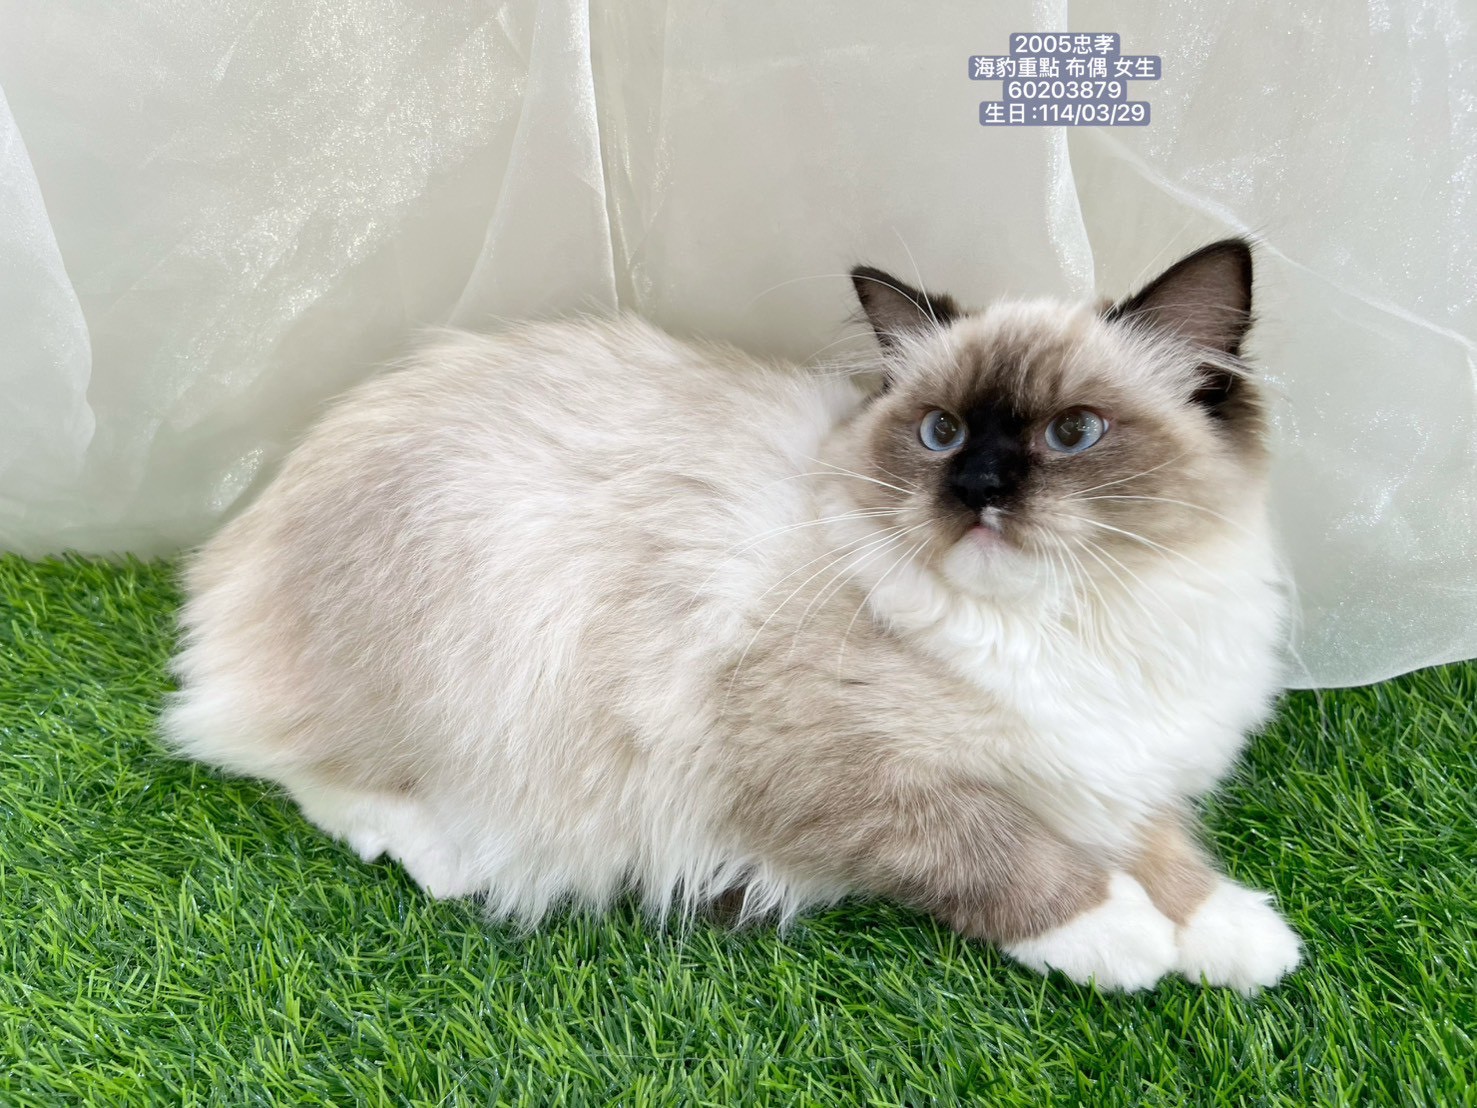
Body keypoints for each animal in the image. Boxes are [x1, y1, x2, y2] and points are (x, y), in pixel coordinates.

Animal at [162, 238, 1302, 993]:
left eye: (1071, 434)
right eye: (938, 432)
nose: (977, 486)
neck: (1076, 626)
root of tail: (235, 546)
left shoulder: (1123, 755)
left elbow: (1160, 844)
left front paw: (1242, 941)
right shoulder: (842, 776)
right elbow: (1001, 850)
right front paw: (1124, 940)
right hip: (472, 669)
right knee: (282, 760)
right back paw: (440, 854)